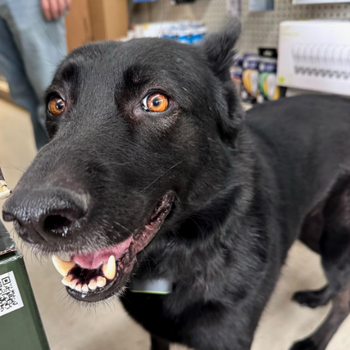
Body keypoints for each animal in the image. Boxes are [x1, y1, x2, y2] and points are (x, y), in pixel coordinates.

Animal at [2, 19, 350, 350]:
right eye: (56, 103)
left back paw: (315, 340)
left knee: (343, 299)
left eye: (156, 101)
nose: (30, 218)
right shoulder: (157, 333)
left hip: (334, 243)